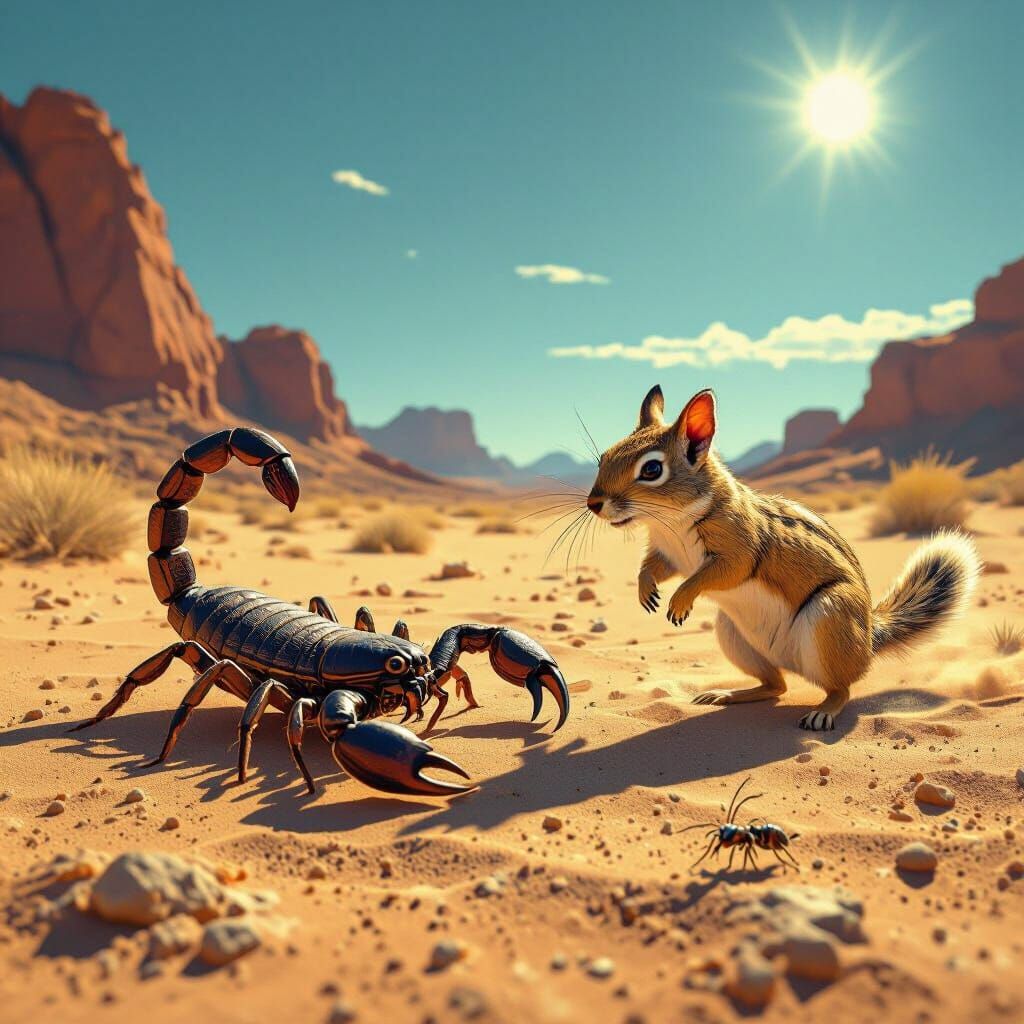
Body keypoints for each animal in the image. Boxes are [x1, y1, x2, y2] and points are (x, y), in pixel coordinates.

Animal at [585, 385, 981, 731]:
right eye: (605, 456)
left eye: (651, 469)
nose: (593, 504)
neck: (672, 523)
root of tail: (869, 639)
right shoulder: (668, 554)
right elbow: (652, 567)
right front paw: (645, 591)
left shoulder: (738, 549)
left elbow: (713, 574)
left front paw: (680, 601)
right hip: (734, 635)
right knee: (776, 685)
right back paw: (726, 694)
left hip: (830, 615)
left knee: (841, 688)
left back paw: (822, 712)